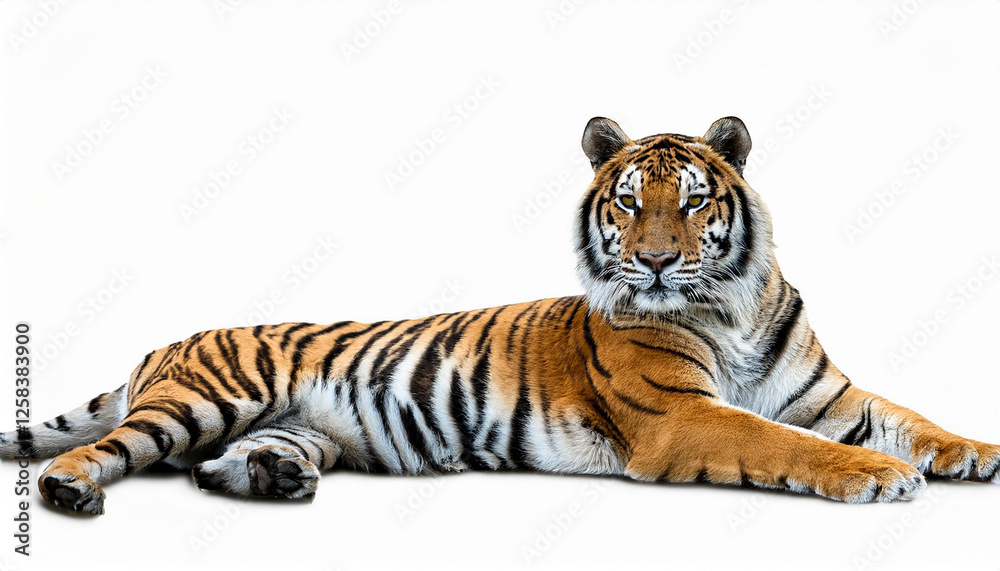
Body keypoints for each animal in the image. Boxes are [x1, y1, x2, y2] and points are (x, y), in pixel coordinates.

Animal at [2, 116, 998, 516]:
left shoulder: (828, 395)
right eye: (629, 202)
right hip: (200, 398)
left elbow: (909, 415)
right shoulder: (681, 416)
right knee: (109, 448)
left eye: (692, 201)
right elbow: (785, 443)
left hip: (292, 425)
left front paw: (973, 452)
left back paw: (277, 481)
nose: (658, 259)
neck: (732, 306)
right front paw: (878, 476)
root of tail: (161, 341)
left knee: (215, 468)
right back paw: (71, 491)